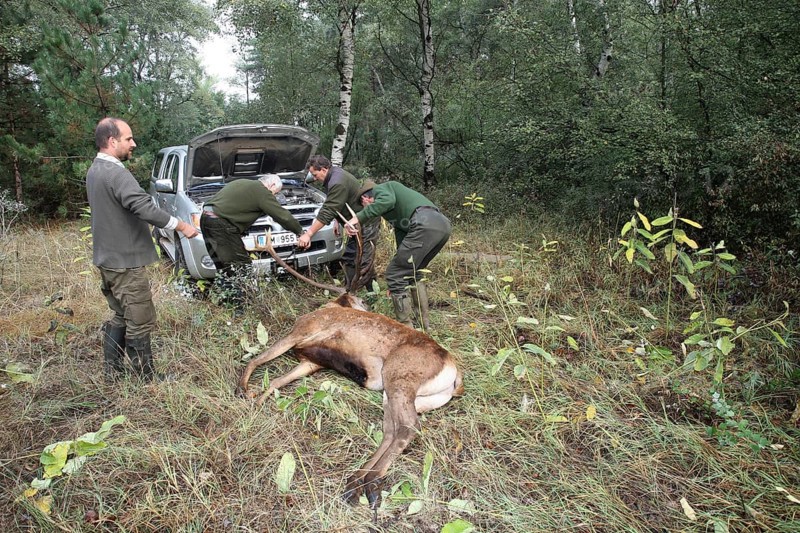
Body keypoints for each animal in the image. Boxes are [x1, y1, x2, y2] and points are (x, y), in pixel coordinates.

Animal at [237, 224, 463, 508]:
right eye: (363, 302)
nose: (369, 304)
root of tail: (454, 372)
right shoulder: (310, 362)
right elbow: (277, 381)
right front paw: (257, 400)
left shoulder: (300, 331)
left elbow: (257, 358)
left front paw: (244, 389)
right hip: (408, 396)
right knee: (391, 429)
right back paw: (355, 482)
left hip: (399, 376)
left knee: (408, 426)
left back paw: (371, 485)